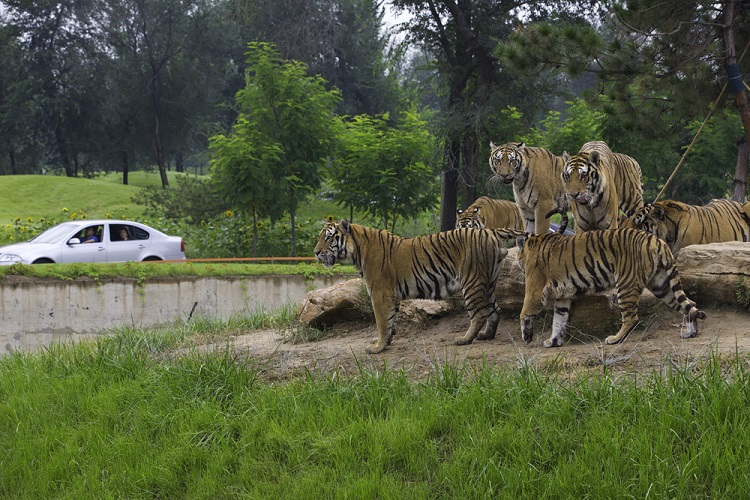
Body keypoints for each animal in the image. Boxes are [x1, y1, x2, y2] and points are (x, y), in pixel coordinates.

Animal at [312, 221, 512, 354]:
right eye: (320, 237)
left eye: (329, 238)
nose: (316, 252)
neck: (358, 251)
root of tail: (490, 232)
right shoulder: (392, 295)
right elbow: (391, 320)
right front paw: (386, 342)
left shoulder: (379, 293)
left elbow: (381, 322)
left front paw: (377, 347)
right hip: (488, 283)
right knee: (495, 310)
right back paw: (486, 335)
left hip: (472, 281)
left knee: (479, 314)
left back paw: (465, 339)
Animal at [496, 227, 708, 348]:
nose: (518, 262)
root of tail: (657, 240)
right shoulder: (563, 296)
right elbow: (559, 319)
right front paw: (554, 341)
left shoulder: (534, 288)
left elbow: (524, 312)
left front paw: (526, 336)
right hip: (661, 284)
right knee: (689, 304)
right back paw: (690, 332)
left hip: (626, 284)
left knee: (631, 318)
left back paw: (614, 339)